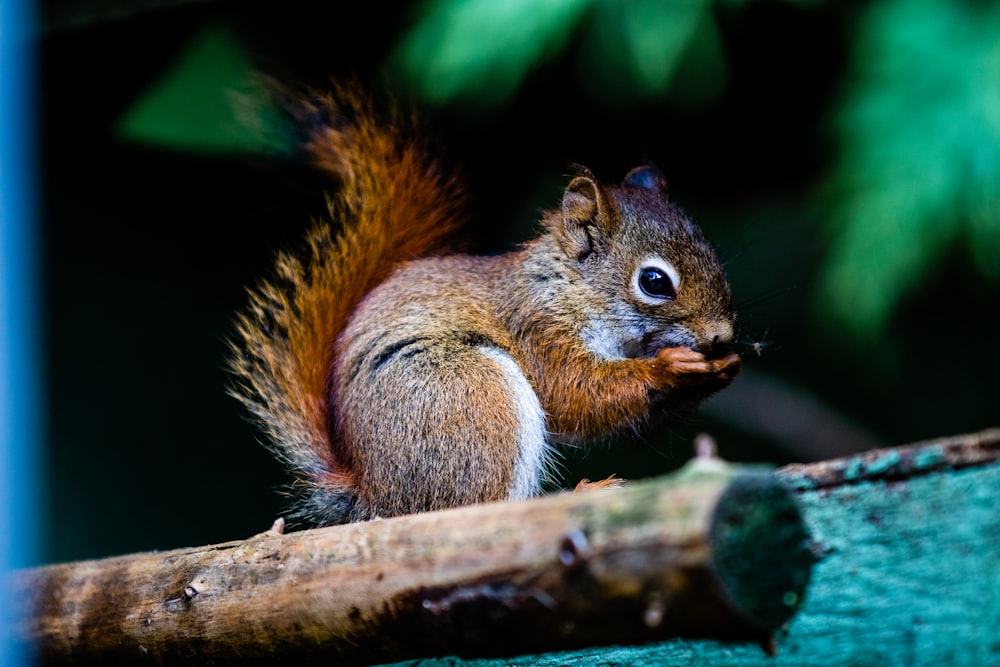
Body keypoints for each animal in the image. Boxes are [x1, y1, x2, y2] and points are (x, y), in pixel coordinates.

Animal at [229, 82, 744, 528]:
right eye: (654, 281)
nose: (720, 335)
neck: (571, 287)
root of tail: (376, 499)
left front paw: (721, 369)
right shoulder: (539, 328)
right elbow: (576, 394)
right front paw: (671, 366)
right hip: (467, 396)